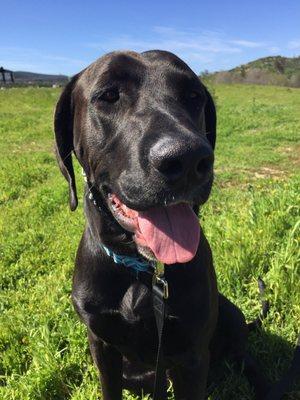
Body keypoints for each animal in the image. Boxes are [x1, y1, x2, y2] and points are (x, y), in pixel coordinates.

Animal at [54, 50, 300, 400]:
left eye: (193, 96)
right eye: (109, 95)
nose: (187, 159)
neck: (143, 271)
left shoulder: (192, 356)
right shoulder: (101, 346)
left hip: (230, 315)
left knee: (247, 360)